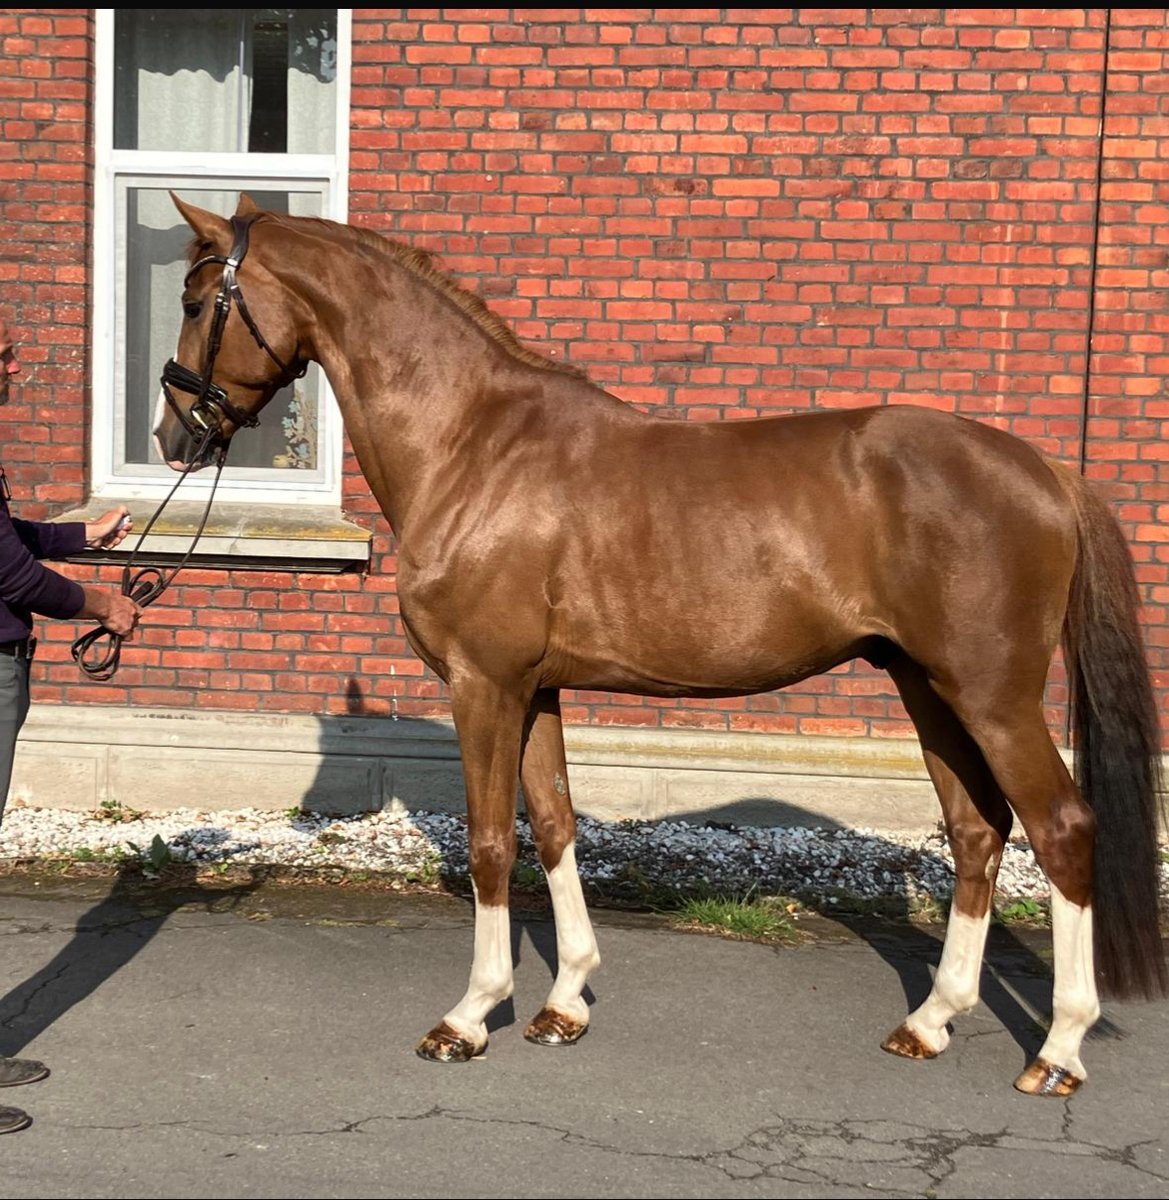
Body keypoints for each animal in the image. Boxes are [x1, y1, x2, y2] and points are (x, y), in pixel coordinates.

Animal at [153, 192, 1166, 1097]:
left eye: (199, 302)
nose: (172, 432)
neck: (474, 444)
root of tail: (1043, 467)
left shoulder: (483, 684)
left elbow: (490, 843)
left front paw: (469, 1018)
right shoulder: (536, 689)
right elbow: (554, 825)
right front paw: (563, 1004)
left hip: (991, 696)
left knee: (1061, 829)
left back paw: (1057, 1051)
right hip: (927, 687)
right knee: (976, 830)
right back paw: (931, 1020)